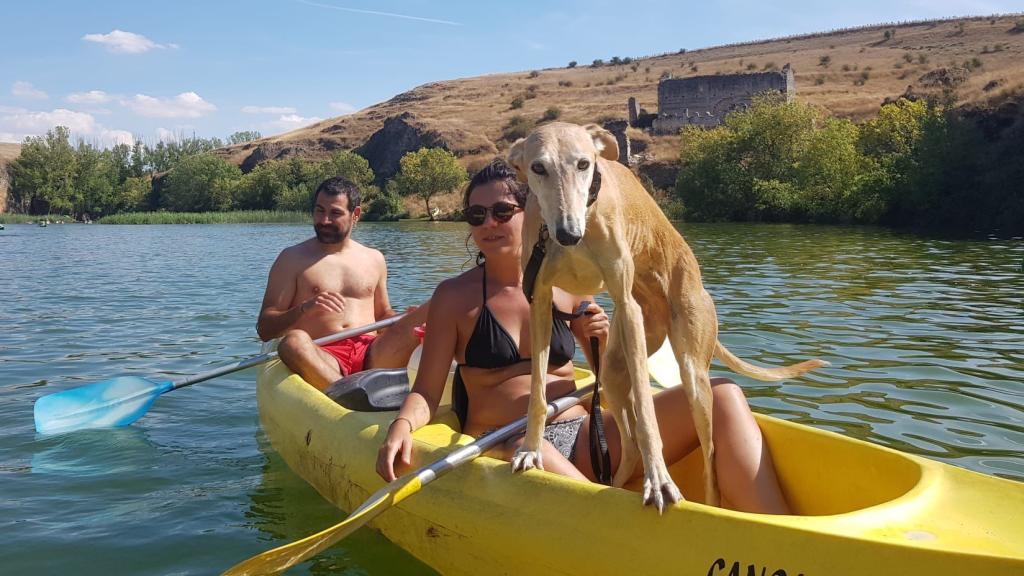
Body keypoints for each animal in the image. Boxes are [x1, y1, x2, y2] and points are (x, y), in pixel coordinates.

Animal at [507, 123, 827, 508]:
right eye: (538, 167)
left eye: (584, 163)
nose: (568, 233)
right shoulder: (539, 301)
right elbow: (538, 393)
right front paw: (529, 449)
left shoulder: (626, 303)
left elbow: (648, 414)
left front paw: (659, 480)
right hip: (615, 368)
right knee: (629, 443)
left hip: (692, 374)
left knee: (709, 460)